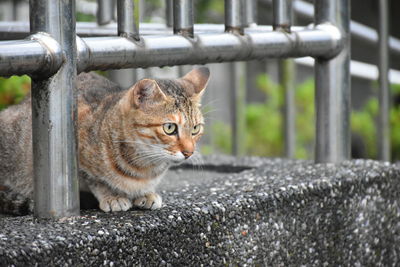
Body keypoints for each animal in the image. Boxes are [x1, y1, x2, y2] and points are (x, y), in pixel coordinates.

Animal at [0, 67, 209, 216]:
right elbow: (97, 180)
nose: (189, 152)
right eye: (170, 128)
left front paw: (146, 193)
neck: (145, 167)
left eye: (195, 129)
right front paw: (113, 196)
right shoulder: (75, 159)